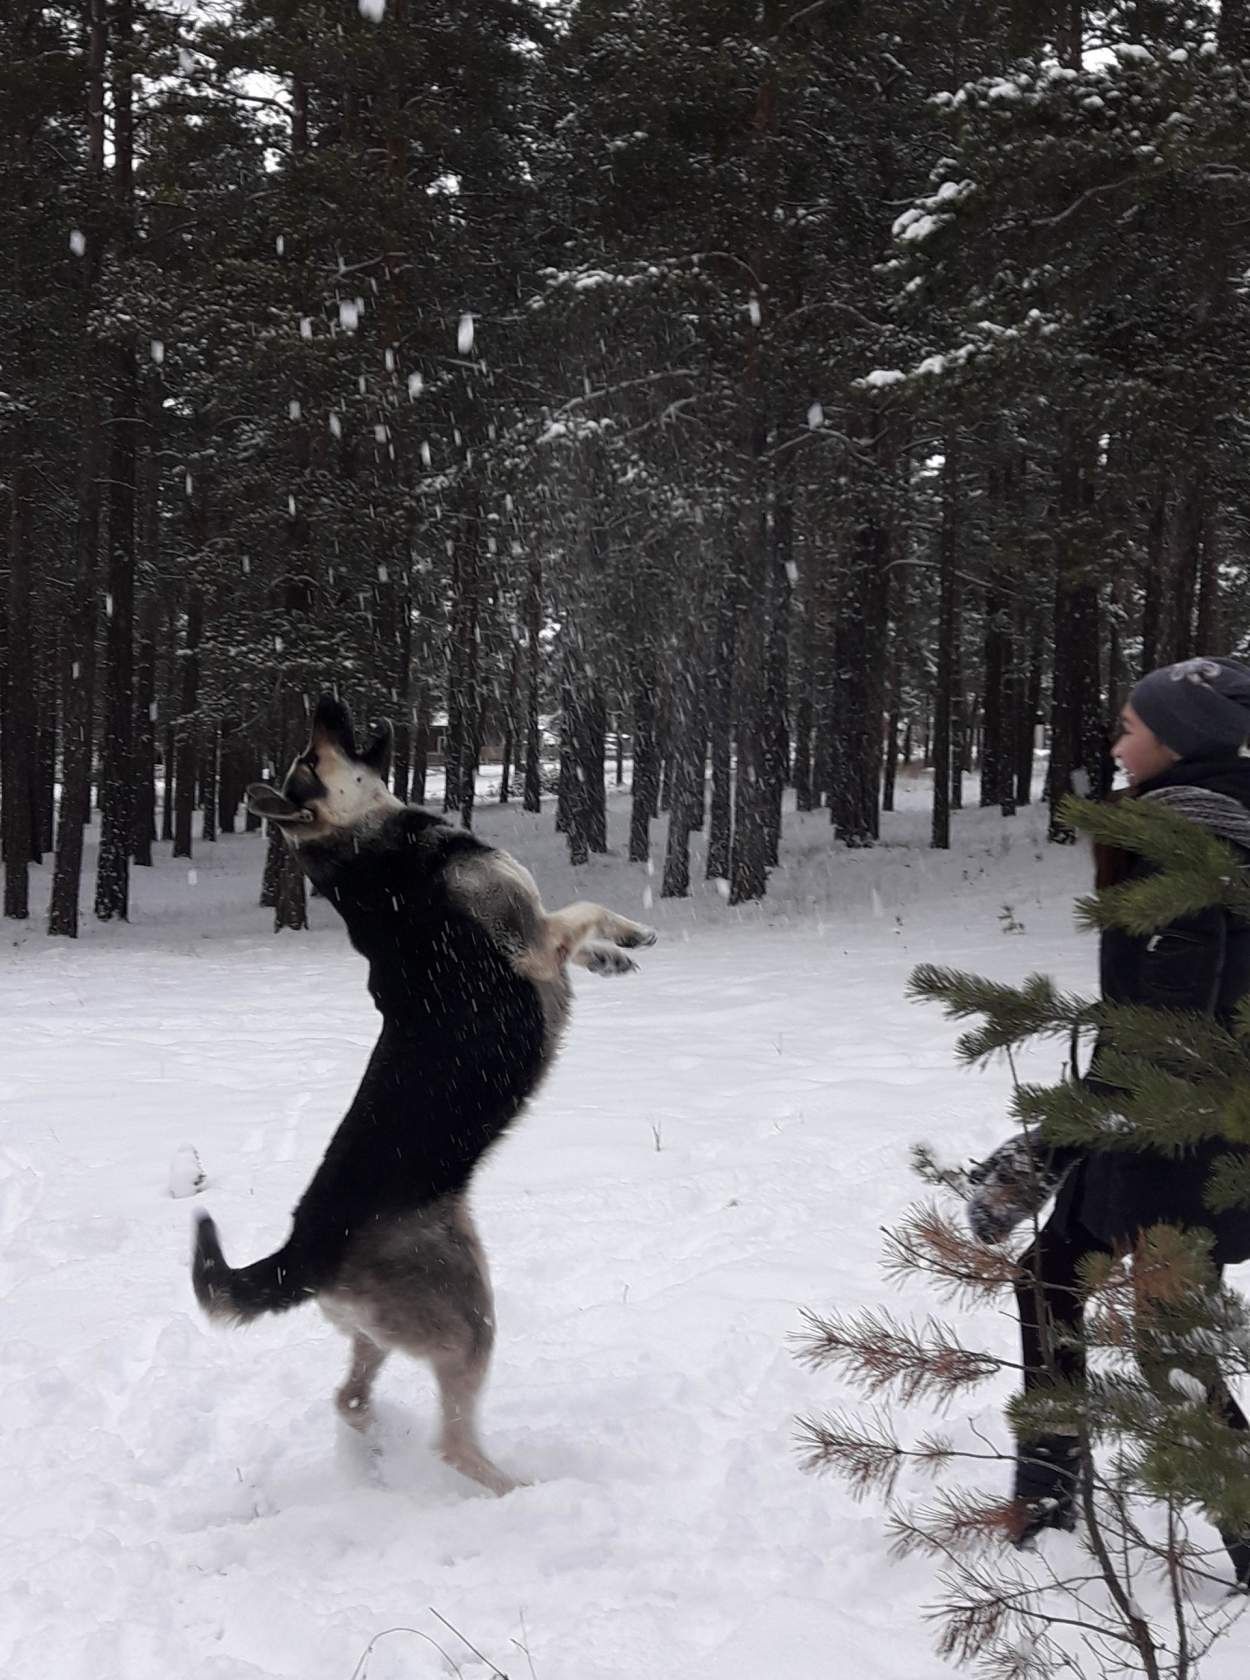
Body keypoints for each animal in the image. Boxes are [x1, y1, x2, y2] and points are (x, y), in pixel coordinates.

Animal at [193, 695, 655, 1498]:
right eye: (310, 759)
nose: (326, 701)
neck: (374, 858)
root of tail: (302, 1251)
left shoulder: (539, 935)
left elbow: (579, 925)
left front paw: (610, 959)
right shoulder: (533, 943)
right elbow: (584, 906)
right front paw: (626, 931)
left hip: (384, 1327)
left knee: (348, 1399)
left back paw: (376, 1455)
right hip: (469, 1319)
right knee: (454, 1443)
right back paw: (512, 1490)